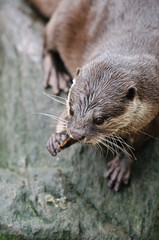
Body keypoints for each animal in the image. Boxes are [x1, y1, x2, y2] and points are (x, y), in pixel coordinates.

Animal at [30, 0, 159, 191]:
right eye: (72, 109)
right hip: (65, 16)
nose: (76, 134)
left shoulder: (153, 116)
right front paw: (57, 138)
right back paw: (56, 73)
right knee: (48, 42)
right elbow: (63, 119)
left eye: (99, 120)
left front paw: (121, 165)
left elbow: (137, 144)